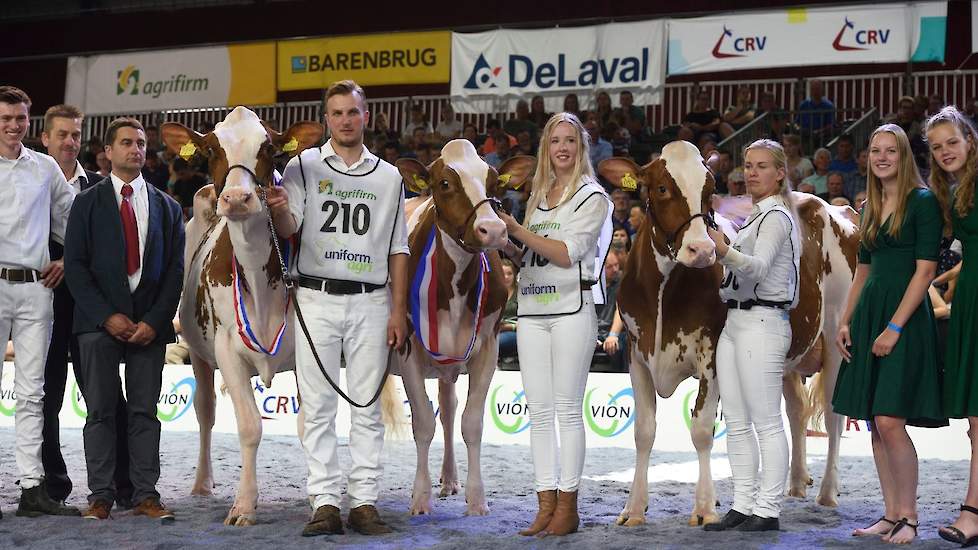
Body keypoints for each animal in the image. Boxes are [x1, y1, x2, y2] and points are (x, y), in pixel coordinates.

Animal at [160, 106, 324, 528]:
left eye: (268, 148)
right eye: (211, 150)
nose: (236, 197)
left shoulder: (309, 349)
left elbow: (309, 425)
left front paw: (318, 497)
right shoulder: (226, 350)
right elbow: (249, 426)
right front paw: (244, 506)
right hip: (197, 351)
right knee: (205, 411)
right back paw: (202, 484)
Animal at [394, 141, 536, 516]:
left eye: (495, 183)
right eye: (445, 183)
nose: (494, 230)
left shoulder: (487, 346)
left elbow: (470, 422)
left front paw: (477, 499)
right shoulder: (408, 346)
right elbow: (421, 423)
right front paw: (420, 498)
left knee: (448, 408)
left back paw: (449, 479)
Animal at [596, 140, 856, 528]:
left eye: (709, 191)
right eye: (662, 188)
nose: (703, 249)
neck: (662, 294)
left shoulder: (712, 356)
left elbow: (702, 429)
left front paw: (705, 508)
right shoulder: (636, 355)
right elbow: (643, 431)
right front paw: (634, 509)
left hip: (838, 335)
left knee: (834, 415)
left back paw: (827, 492)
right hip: (789, 356)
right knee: (795, 411)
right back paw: (794, 485)